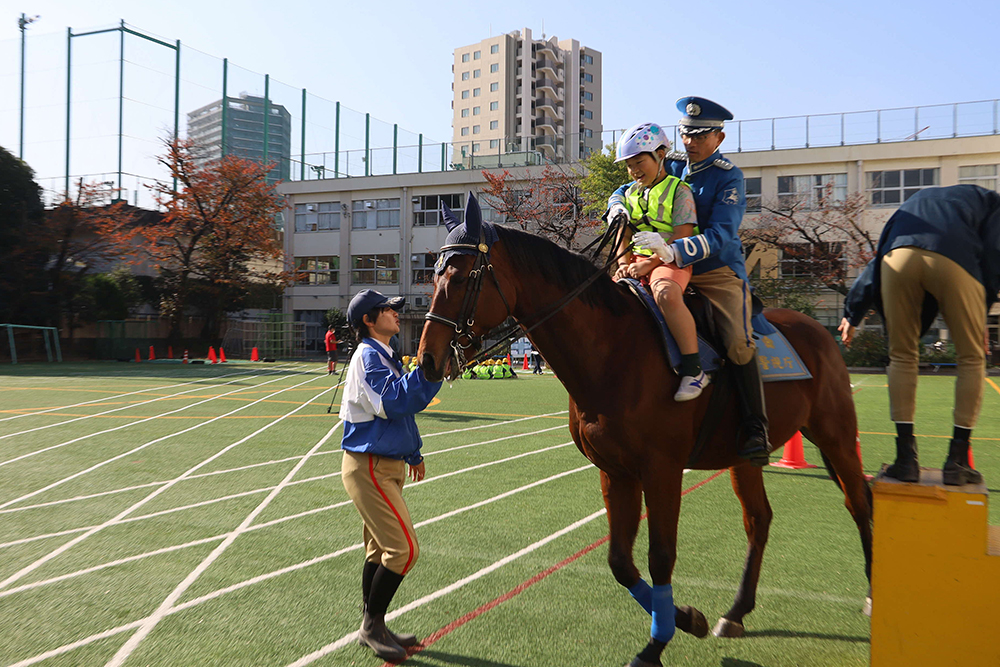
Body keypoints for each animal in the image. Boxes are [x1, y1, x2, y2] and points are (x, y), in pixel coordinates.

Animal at [418, 217, 872, 664]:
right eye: (434, 273)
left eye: (462, 276)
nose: (426, 359)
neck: (614, 349)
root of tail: (819, 330)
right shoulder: (615, 472)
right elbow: (620, 561)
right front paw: (686, 618)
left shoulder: (662, 471)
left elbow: (661, 555)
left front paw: (657, 643)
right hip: (743, 459)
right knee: (758, 520)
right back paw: (737, 611)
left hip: (836, 435)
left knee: (858, 503)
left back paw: (870, 595)